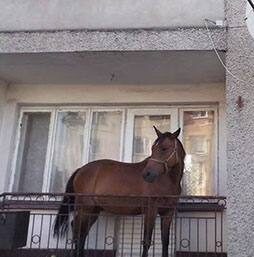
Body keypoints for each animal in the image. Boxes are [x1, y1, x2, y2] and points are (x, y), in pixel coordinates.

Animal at [54, 126, 185, 256]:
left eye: (164, 148)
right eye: (153, 149)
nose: (147, 174)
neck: (167, 180)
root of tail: (80, 169)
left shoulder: (167, 213)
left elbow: (165, 242)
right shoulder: (151, 210)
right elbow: (147, 241)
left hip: (94, 211)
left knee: (82, 232)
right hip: (85, 208)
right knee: (77, 230)